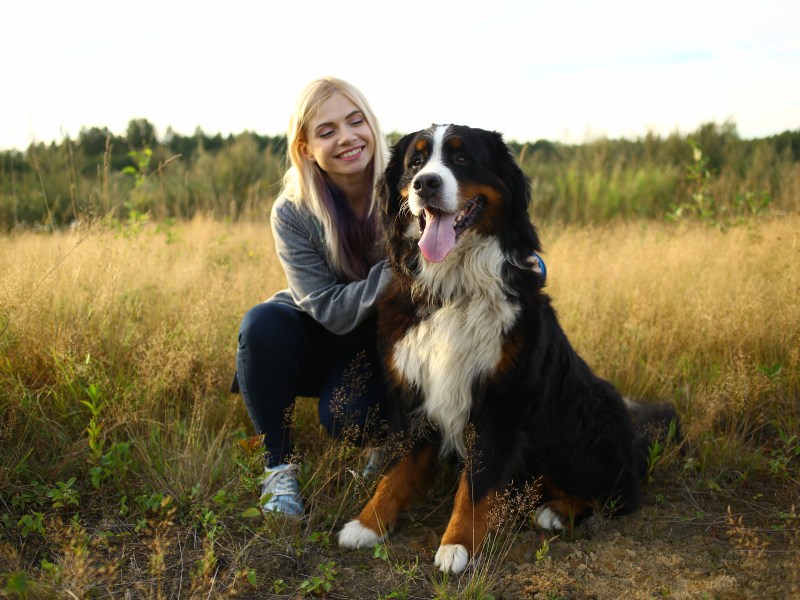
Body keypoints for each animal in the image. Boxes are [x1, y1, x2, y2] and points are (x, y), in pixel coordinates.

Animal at [334, 124, 680, 576]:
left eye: (462, 159)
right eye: (415, 162)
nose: (426, 184)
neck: (455, 287)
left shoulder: (500, 401)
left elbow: (476, 484)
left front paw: (458, 544)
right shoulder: (412, 392)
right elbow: (394, 470)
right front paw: (368, 523)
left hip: (586, 415)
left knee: (620, 493)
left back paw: (556, 511)